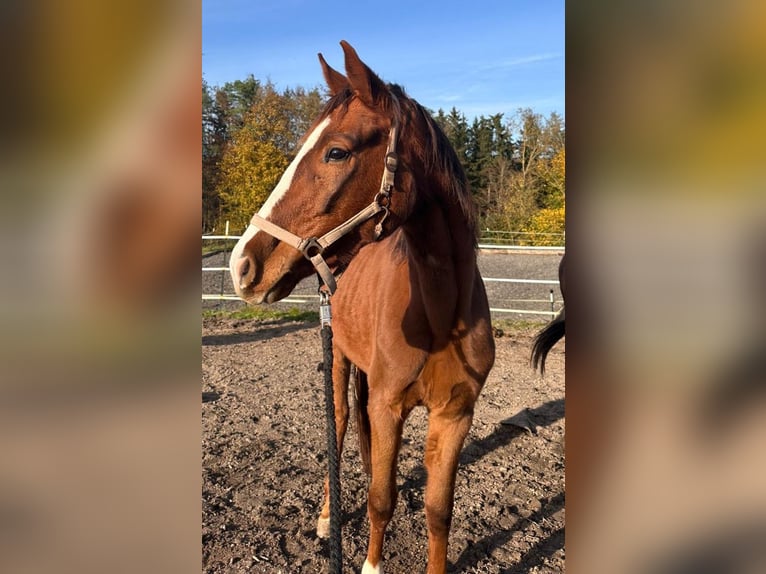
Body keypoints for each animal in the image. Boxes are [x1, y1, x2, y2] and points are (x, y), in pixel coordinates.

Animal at [228, 41, 496, 574]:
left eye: (336, 151)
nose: (242, 265)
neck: (441, 317)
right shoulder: (389, 405)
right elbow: (380, 498)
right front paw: (370, 562)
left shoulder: (456, 414)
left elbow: (438, 511)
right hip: (338, 362)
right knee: (340, 424)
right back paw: (327, 517)